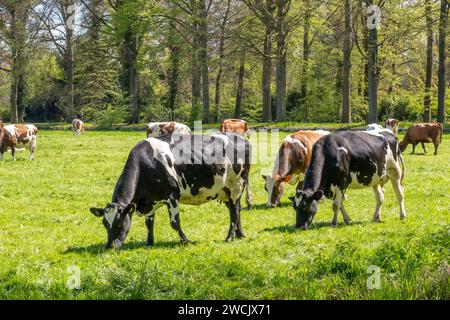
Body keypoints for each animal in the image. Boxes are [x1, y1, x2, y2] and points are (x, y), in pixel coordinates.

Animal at [90, 134, 253, 249]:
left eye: (119, 224)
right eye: (105, 224)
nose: (109, 247)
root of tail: (242, 139)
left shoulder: (172, 196)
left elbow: (175, 222)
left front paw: (185, 241)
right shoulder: (150, 200)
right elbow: (149, 223)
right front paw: (149, 242)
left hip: (236, 186)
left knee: (234, 212)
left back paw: (229, 237)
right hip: (225, 191)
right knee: (236, 210)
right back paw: (240, 234)